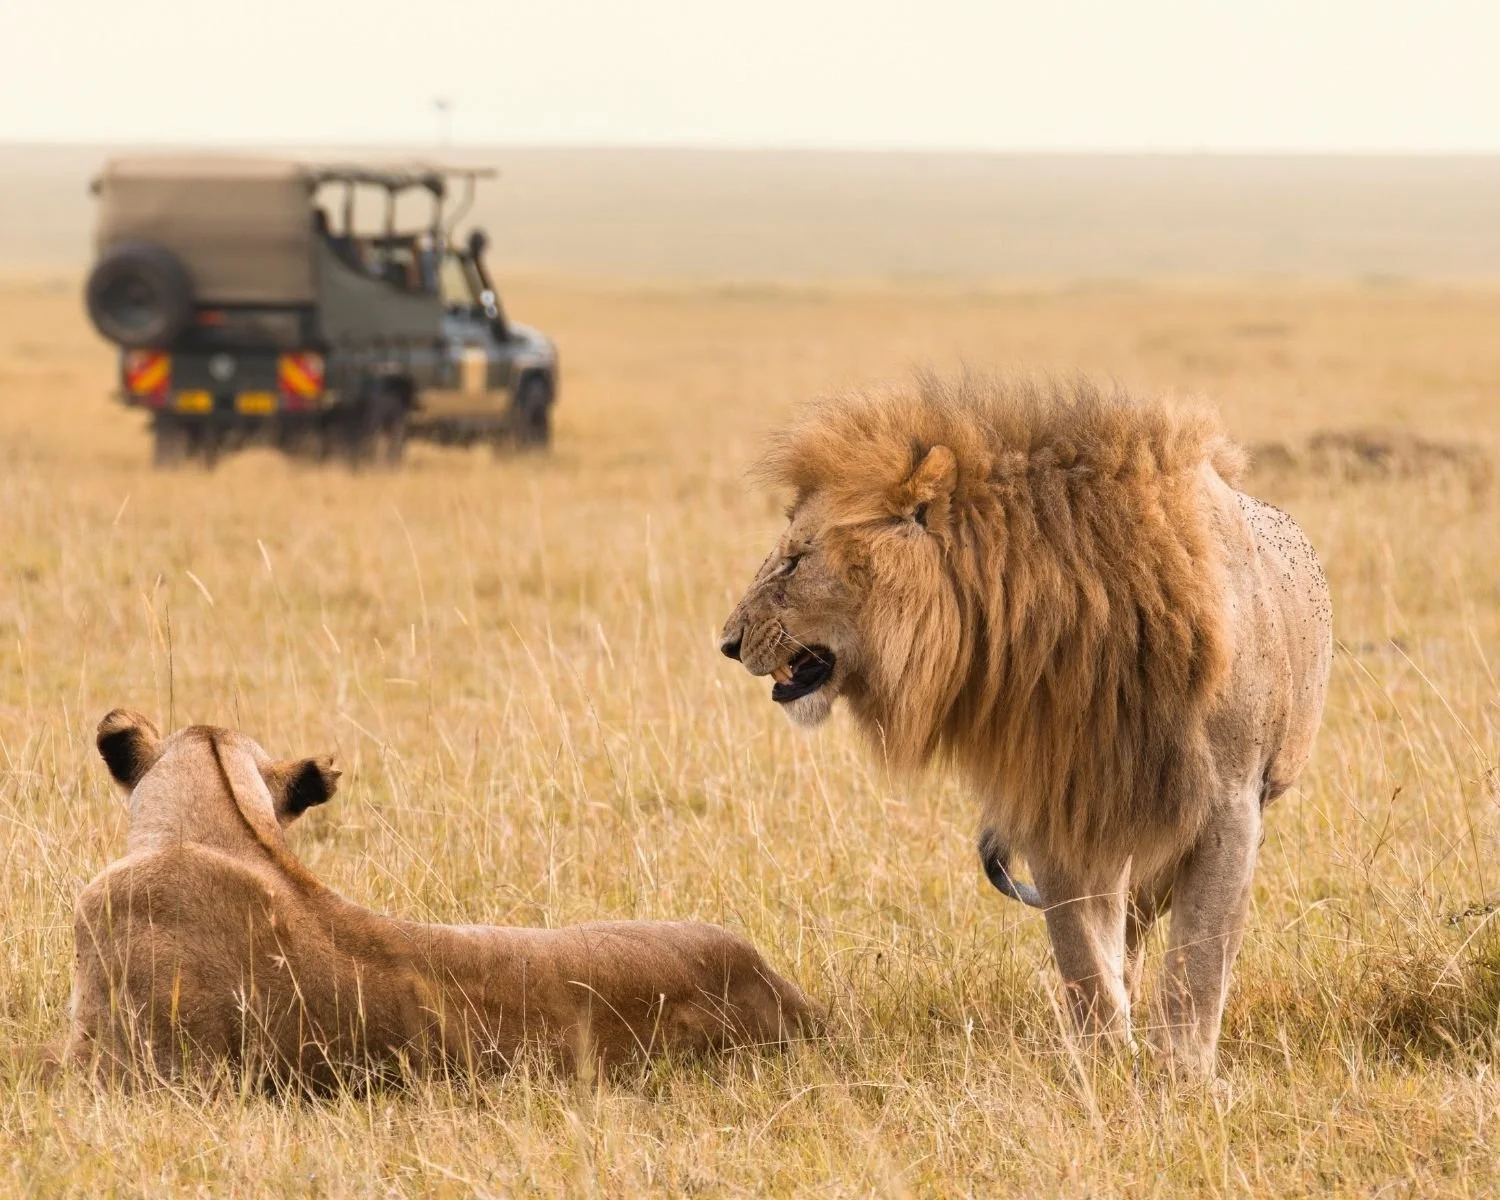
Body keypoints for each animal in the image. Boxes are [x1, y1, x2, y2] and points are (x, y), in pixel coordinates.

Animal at [720, 376, 1332, 1074]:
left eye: (796, 561)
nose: (728, 643)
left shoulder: (1230, 805)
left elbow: (1199, 957)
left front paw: (1183, 1074)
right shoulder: (1058, 803)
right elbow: (1082, 952)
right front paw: (1103, 1062)